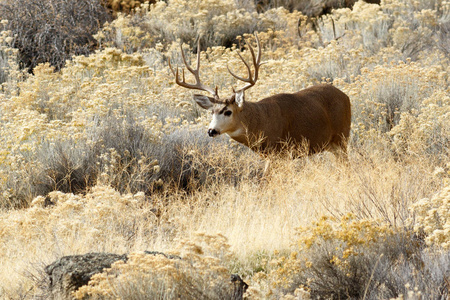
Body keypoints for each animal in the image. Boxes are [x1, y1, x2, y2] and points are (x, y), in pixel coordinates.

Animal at [169, 33, 352, 161]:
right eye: (212, 112)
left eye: (228, 111)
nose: (211, 131)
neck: (260, 122)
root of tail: (346, 96)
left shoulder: (280, 152)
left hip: (342, 138)